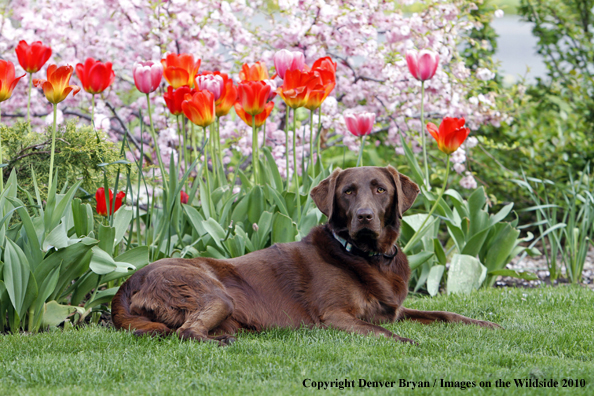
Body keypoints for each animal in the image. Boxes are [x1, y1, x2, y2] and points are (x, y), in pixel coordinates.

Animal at [110, 166, 494, 344]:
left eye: (381, 190)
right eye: (348, 192)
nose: (364, 216)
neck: (368, 256)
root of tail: (125, 287)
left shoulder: (395, 310)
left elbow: (445, 313)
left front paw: (486, 324)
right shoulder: (334, 317)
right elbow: (384, 333)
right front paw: (409, 342)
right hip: (212, 292)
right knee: (185, 332)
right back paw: (224, 341)